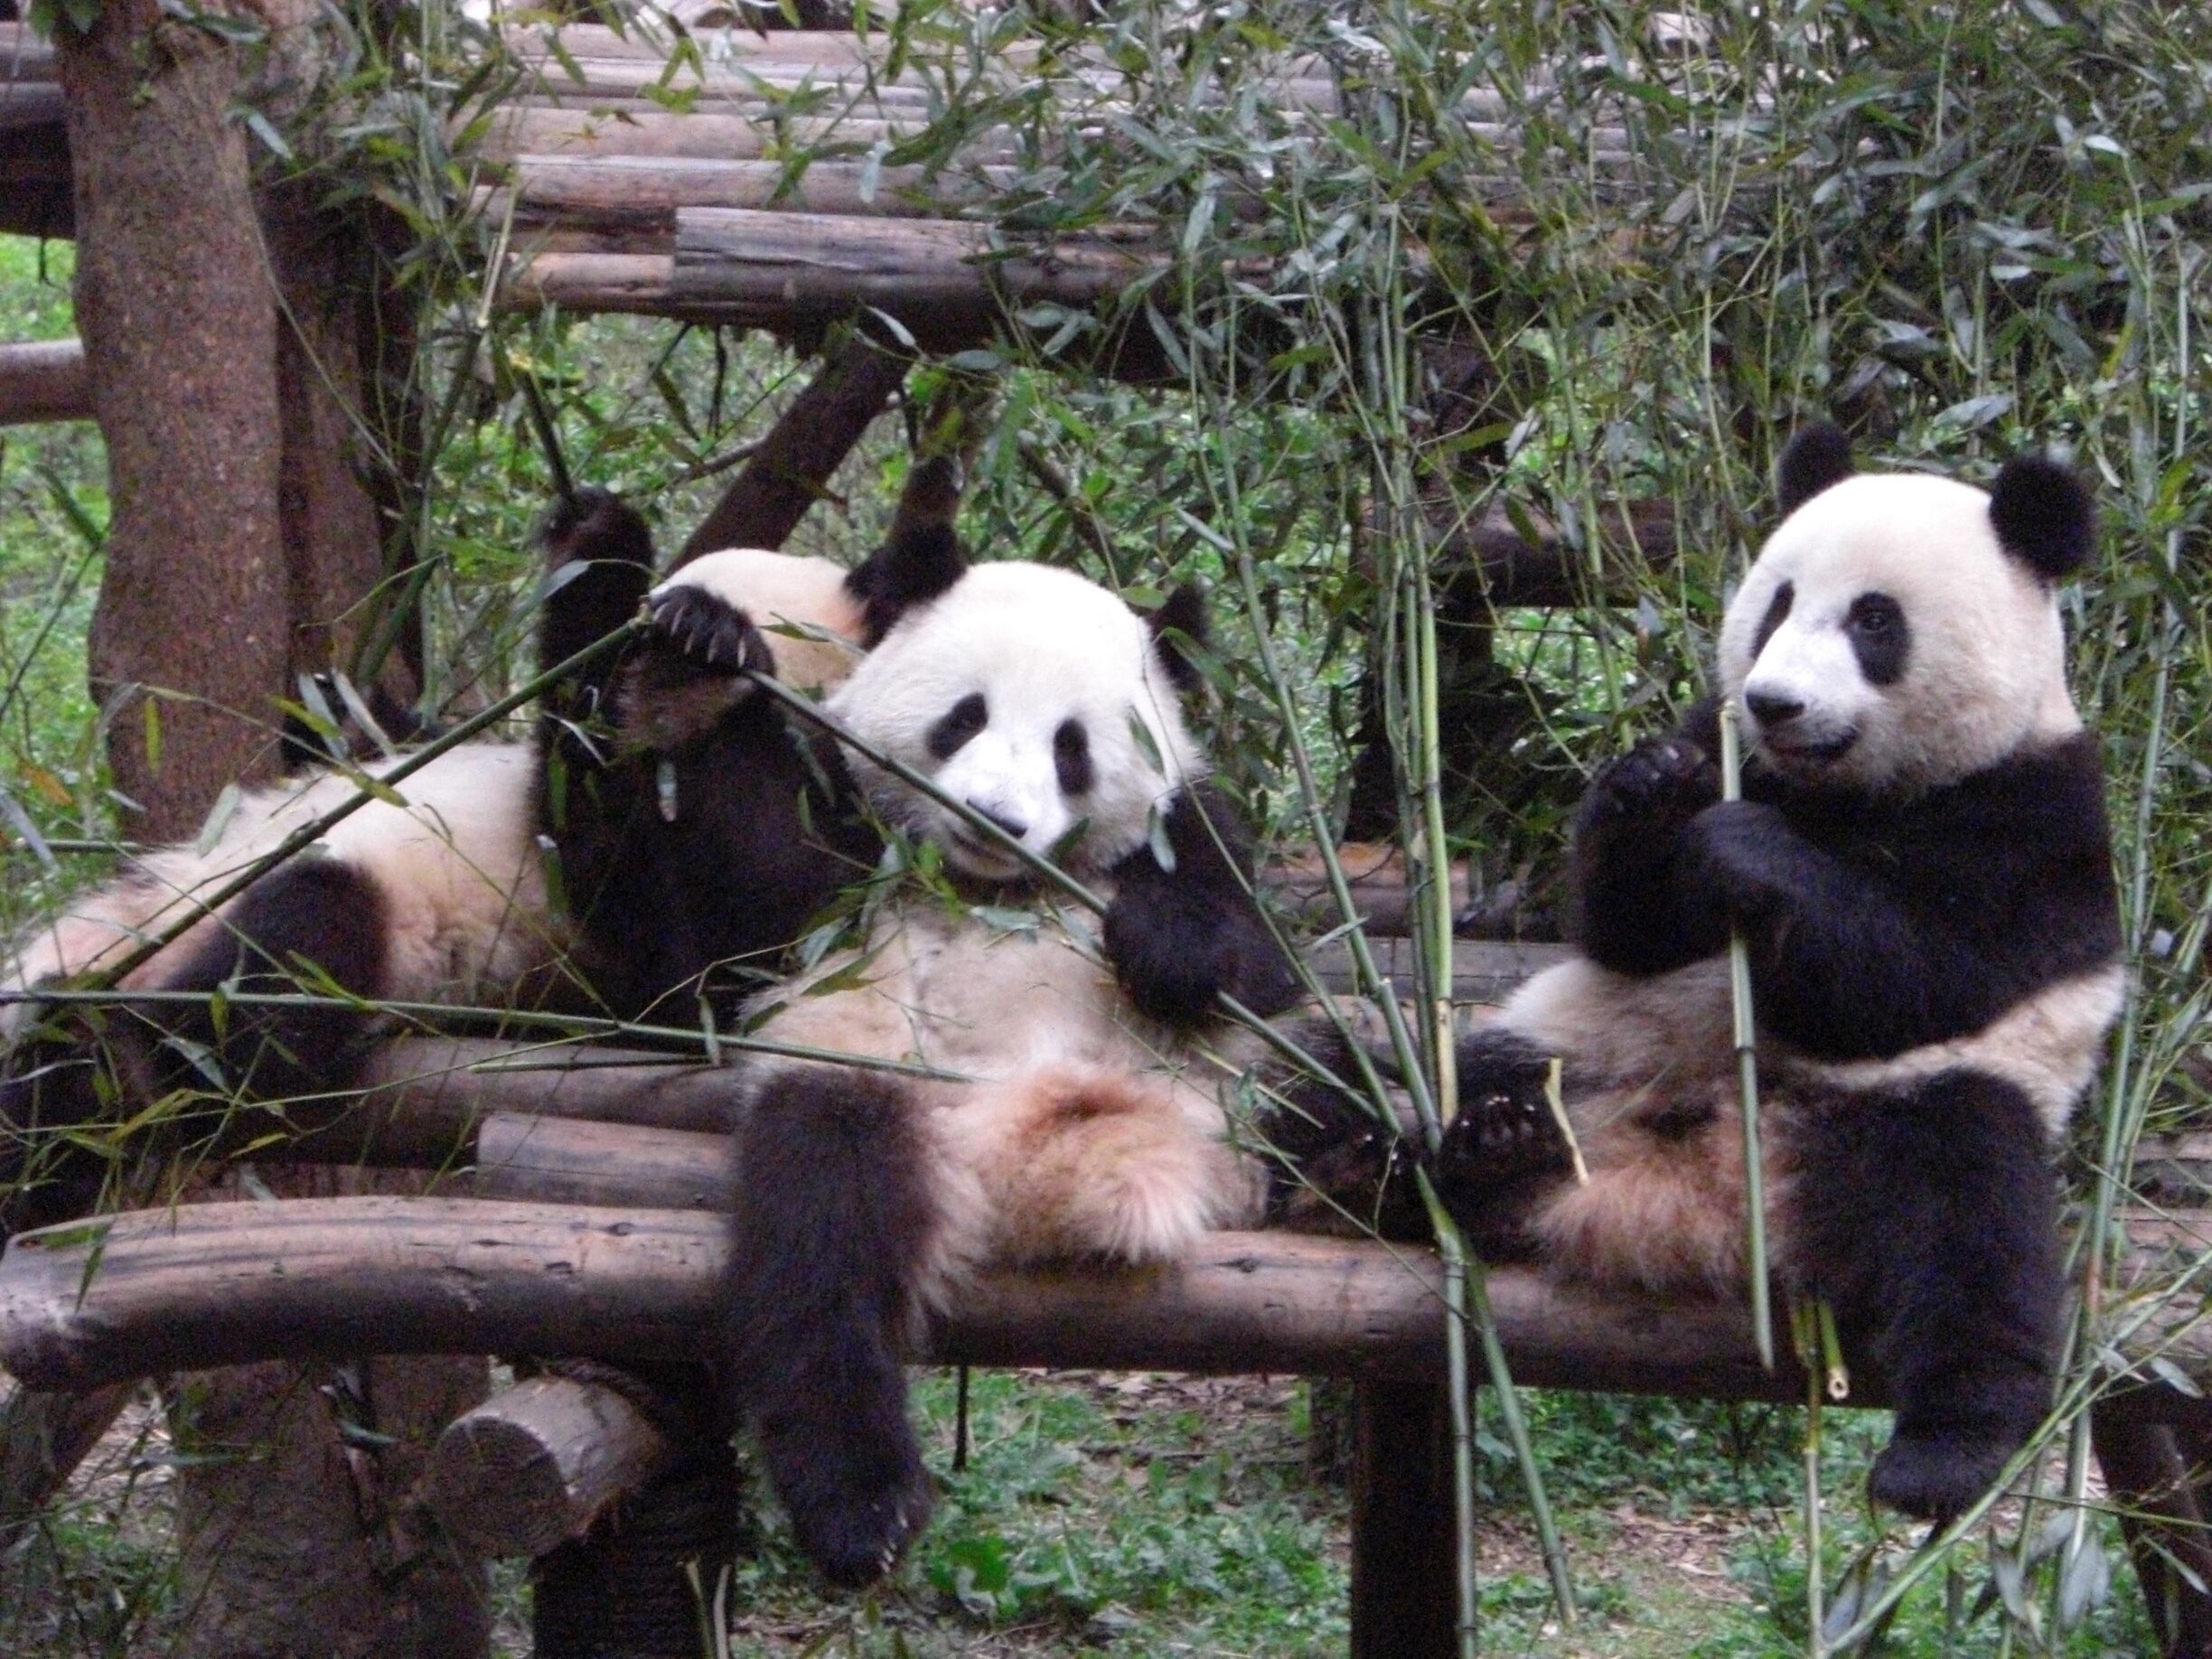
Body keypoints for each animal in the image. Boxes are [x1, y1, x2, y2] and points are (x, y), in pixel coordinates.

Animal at [705, 537, 1299, 1587]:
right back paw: (862, 1507)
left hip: (1236, 1103)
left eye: (1072, 747)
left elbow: (1257, 963)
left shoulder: (1192, 824)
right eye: (964, 716)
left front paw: (1166, 949)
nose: (994, 819)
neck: (994, 887)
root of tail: (1034, 1163)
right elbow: (754, 907)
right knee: (821, 1242)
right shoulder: (845, 853)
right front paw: (708, 643)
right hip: (874, 1087)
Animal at [1416, 424, 2121, 1523]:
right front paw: (1650, 788)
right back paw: (1467, 1148)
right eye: (1779, 602)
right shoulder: (1722, 737)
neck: (1834, 788)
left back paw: (1944, 1456)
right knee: (1424, 1075)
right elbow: (1630, 932)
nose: (1775, 701)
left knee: (1970, 1219)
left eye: (1875, 620)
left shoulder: (2034, 819)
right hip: (1578, 1046)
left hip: (1919, 1105)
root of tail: (1705, 1197)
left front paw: (1750, 852)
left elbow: (1911, 975)